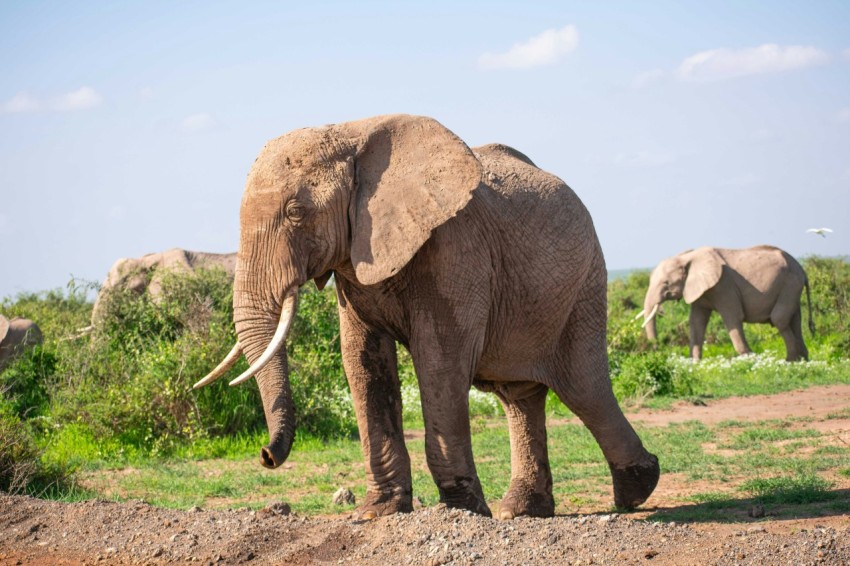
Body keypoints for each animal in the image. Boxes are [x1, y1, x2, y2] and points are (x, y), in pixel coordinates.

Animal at [195, 113, 660, 520]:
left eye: (296, 212)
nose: (265, 455)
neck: (351, 133)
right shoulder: (356, 258)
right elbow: (362, 362)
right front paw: (377, 512)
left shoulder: (454, 245)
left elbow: (440, 360)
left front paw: (460, 510)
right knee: (520, 396)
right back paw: (522, 510)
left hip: (583, 285)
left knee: (583, 387)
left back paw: (638, 490)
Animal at [640, 247, 812, 364]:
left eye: (666, 283)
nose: (657, 349)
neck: (687, 257)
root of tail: (802, 269)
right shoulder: (701, 290)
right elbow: (696, 321)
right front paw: (694, 364)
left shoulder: (723, 286)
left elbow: (732, 317)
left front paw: (751, 359)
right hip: (792, 286)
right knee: (795, 320)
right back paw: (803, 360)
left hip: (790, 284)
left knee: (779, 319)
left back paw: (789, 361)